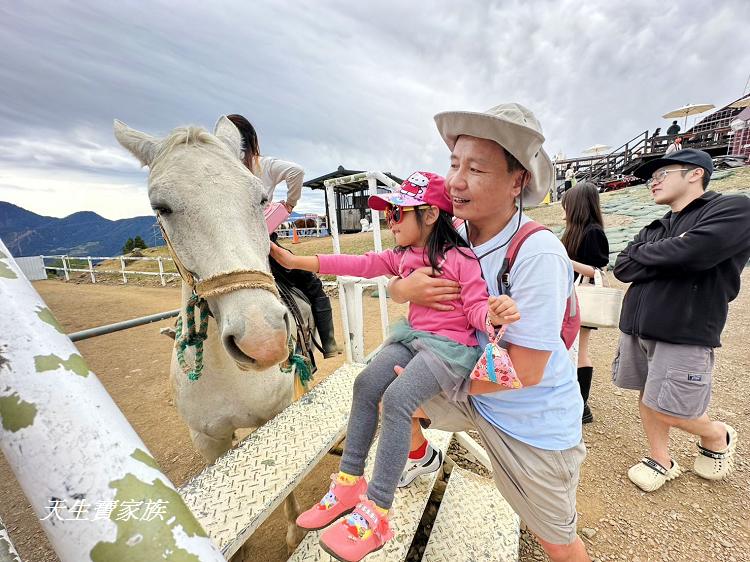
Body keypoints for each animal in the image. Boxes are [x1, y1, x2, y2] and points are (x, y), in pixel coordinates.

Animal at [111, 116, 308, 552]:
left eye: (260, 199)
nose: (262, 341)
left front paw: (293, 530)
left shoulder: (281, 413)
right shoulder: (207, 440)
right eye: (161, 207)